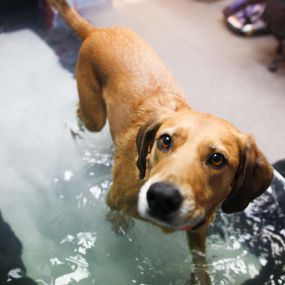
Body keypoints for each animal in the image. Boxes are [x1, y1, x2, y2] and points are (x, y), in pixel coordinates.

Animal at [46, 0, 272, 282]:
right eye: (165, 140)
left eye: (217, 159)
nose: (162, 197)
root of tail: (95, 31)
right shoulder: (113, 200)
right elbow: (116, 215)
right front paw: (119, 224)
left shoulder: (198, 230)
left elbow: (201, 262)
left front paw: (201, 277)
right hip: (94, 115)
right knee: (82, 112)